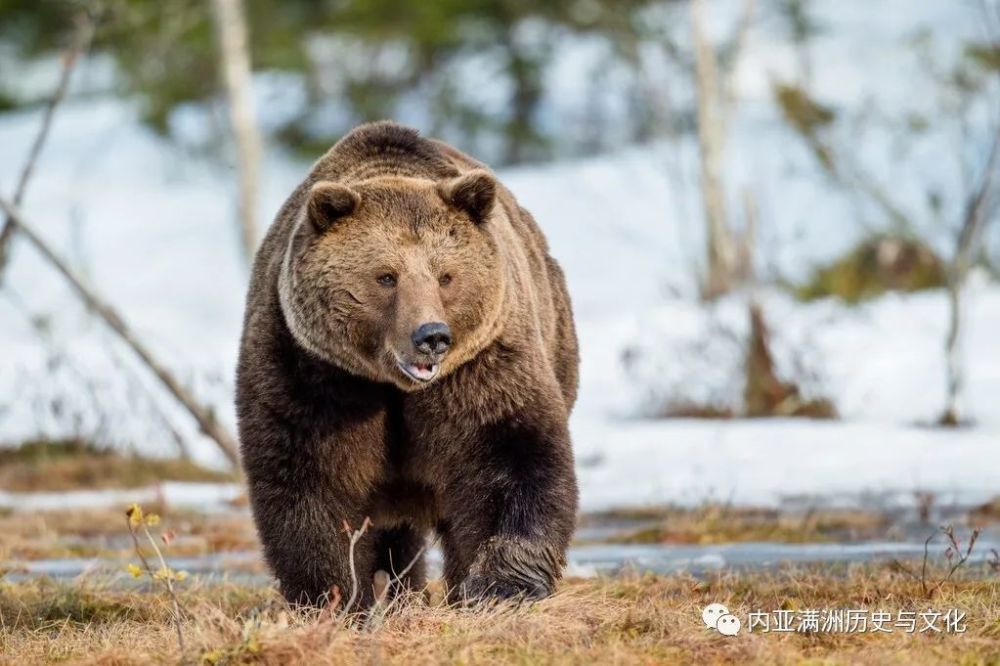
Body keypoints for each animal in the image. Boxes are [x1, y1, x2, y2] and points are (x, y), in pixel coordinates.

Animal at [236, 120, 580, 608]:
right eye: (386, 276)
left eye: (446, 276)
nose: (431, 336)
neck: (393, 386)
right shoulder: (313, 370)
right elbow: (310, 480)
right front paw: (334, 596)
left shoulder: (480, 366)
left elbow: (511, 455)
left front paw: (500, 587)